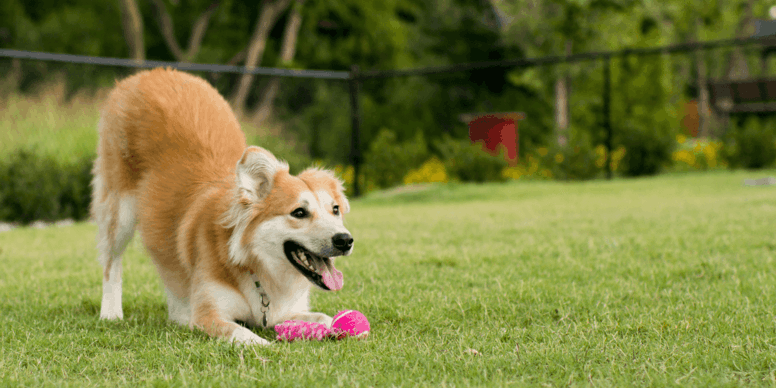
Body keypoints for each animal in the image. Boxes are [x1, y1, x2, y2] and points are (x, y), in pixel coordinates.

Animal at [91, 67, 354, 346]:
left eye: (335, 210)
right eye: (299, 212)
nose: (345, 240)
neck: (255, 264)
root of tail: (151, 72)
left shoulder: (286, 311)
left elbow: (324, 317)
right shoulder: (208, 316)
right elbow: (243, 333)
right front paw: (265, 345)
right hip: (119, 211)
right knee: (111, 263)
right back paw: (111, 312)